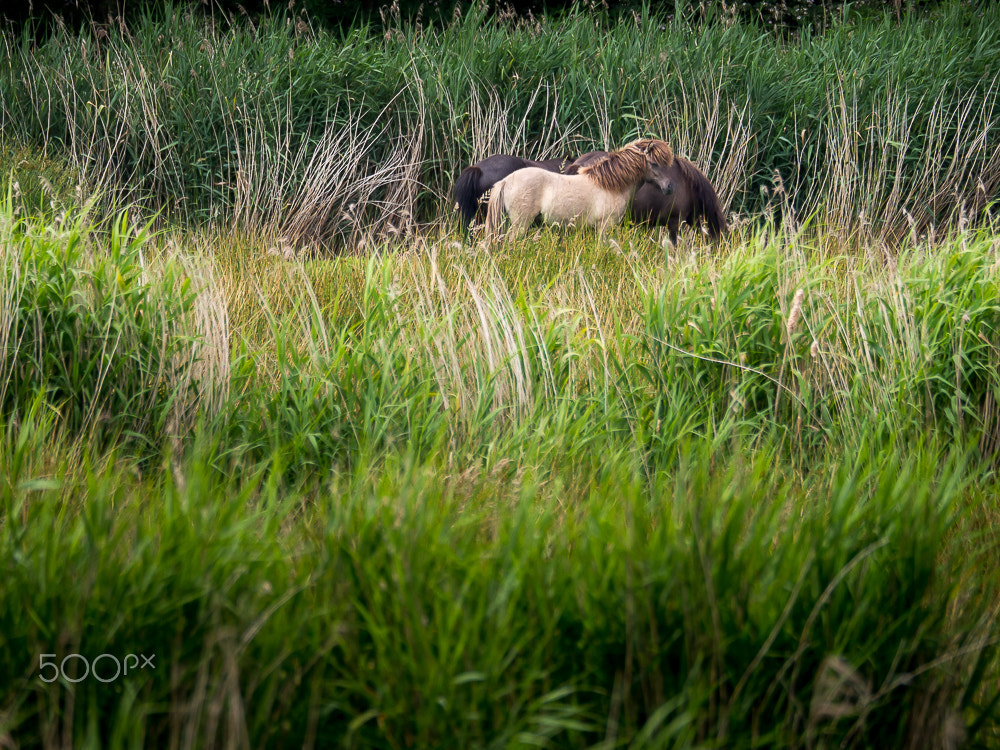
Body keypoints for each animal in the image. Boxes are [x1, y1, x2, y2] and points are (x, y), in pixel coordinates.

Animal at [483, 139, 676, 245]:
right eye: (654, 163)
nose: (670, 187)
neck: (610, 186)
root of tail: (506, 181)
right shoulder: (605, 227)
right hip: (520, 224)